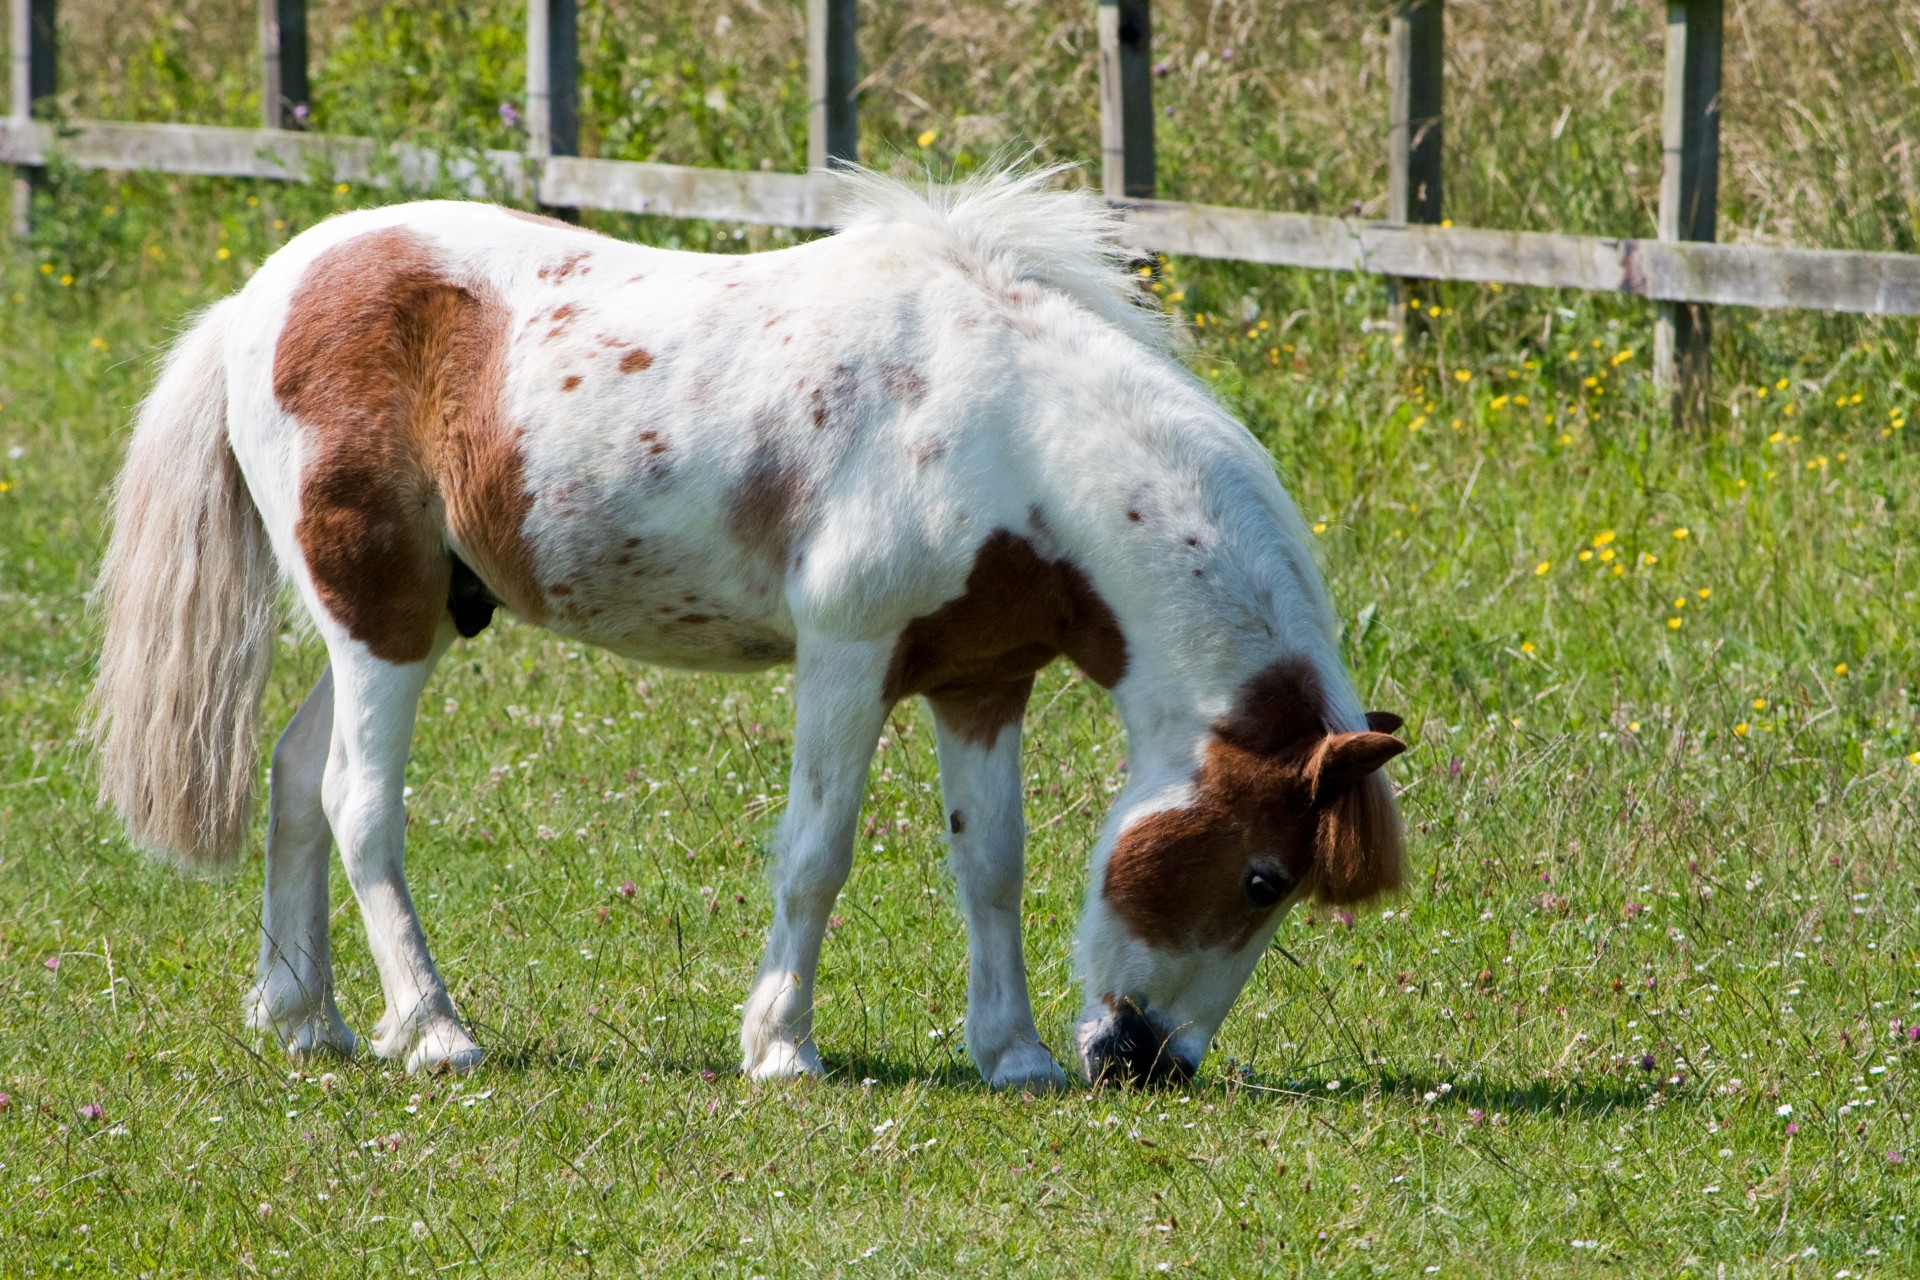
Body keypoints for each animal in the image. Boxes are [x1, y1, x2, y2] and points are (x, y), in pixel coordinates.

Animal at [93, 165, 1413, 1090]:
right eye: (1261, 876)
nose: (1147, 1062)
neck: (1012, 435)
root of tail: (261, 297)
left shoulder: (981, 679)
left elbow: (991, 860)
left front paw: (1015, 1052)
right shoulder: (847, 656)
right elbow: (815, 851)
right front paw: (782, 1046)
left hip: (396, 620)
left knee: (294, 776)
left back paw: (306, 1018)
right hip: (378, 617)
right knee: (360, 804)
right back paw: (434, 1031)